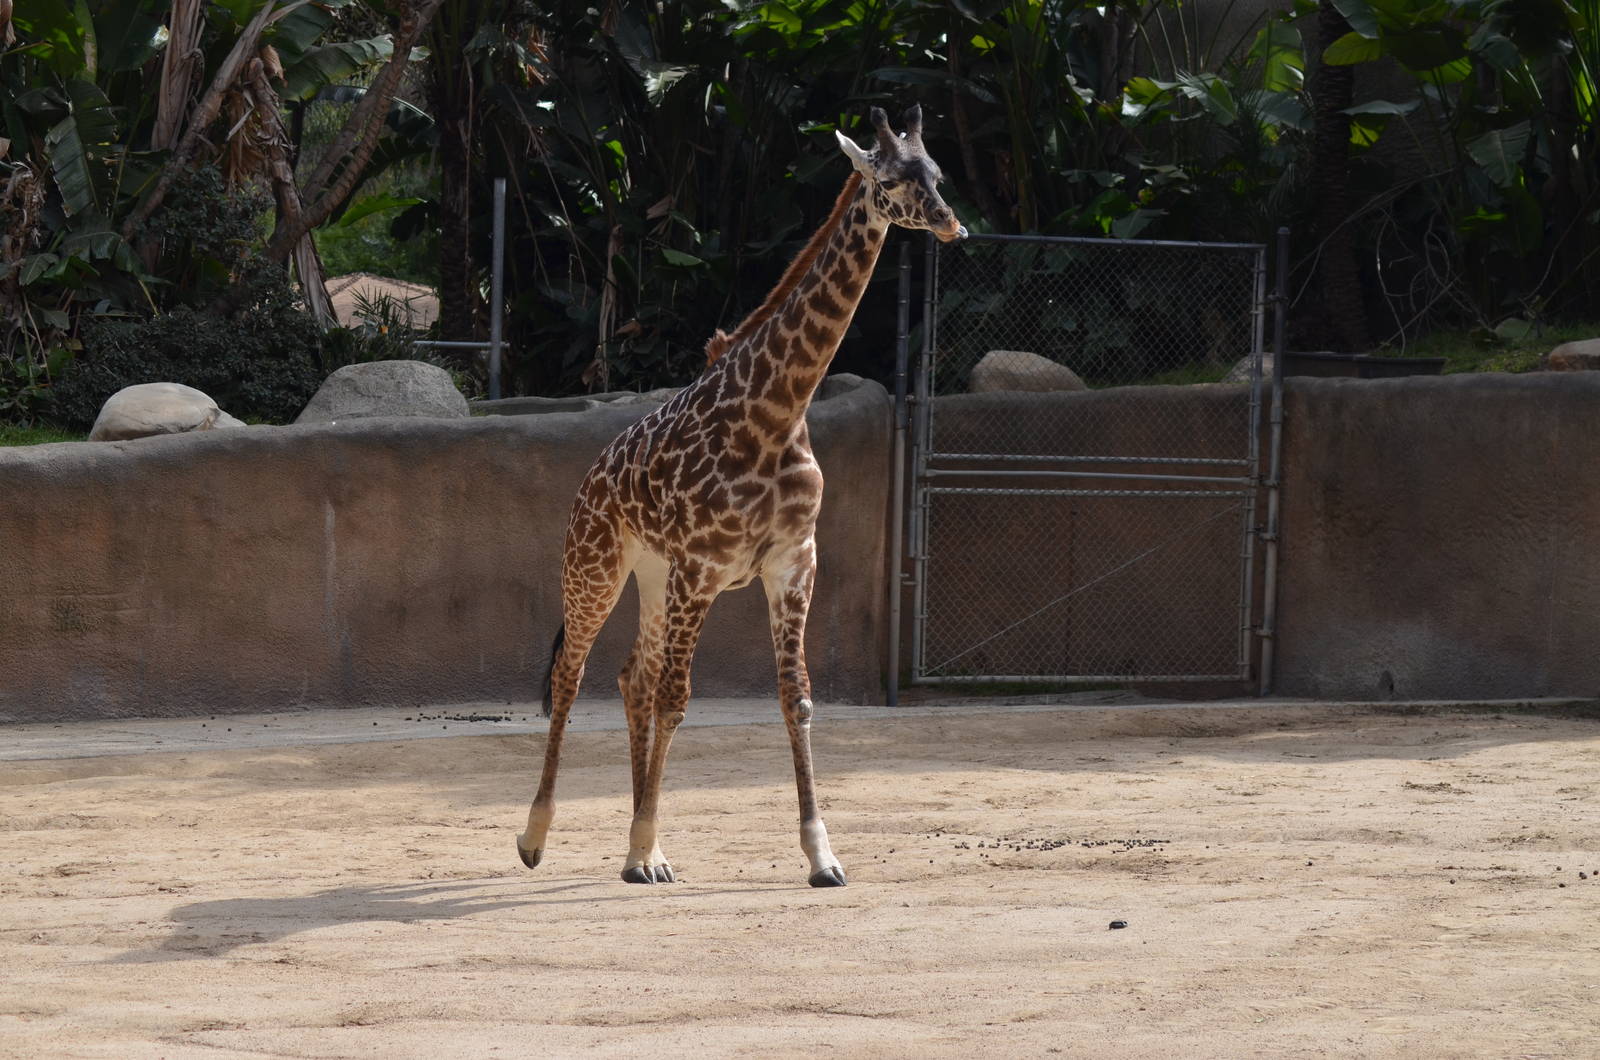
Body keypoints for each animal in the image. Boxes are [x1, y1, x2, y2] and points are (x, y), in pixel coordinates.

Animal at [517, 105, 964, 887]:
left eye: (936, 173)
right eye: (889, 181)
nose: (952, 226)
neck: (777, 409)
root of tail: (591, 478)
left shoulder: (792, 563)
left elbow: (798, 699)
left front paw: (821, 855)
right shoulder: (704, 568)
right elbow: (679, 701)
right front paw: (641, 840)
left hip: (654, 577)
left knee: (632, 677)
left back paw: (645, 856)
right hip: (596, 567)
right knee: (574, 677)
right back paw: (537, 838)